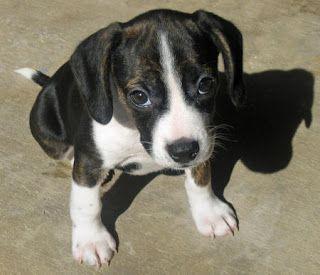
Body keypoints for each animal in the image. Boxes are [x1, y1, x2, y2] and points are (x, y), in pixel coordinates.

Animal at [15, 9, 245, 268]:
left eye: (205, 84)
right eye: (139, 96)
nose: (184, 151)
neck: (135, 131)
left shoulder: (204, 138)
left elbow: (200, 178)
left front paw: (210, 213)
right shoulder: (90, 160)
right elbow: (86, 204)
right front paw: (91, 240)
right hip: (47, 127)